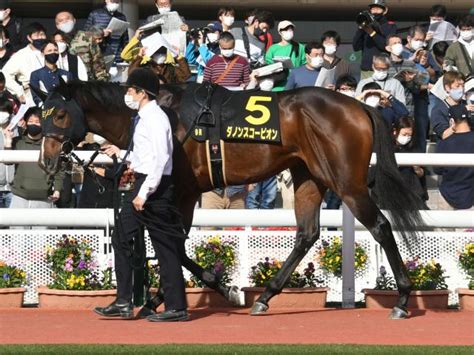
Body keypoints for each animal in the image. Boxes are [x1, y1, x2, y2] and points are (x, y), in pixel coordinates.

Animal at [37, 81, 422, 320]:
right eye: (40, 116)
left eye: (60, 115)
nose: (46, 161)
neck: (165, 115)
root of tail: (359, 106)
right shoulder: (180, 193)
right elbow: (169, 242)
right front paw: (159, 298)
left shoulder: (182, 191)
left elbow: (174, 243)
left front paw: (214, 284)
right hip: (308, 176)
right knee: (307, 233)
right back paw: (265, 297)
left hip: (346, 182)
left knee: (380, 226)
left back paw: (403, 299)